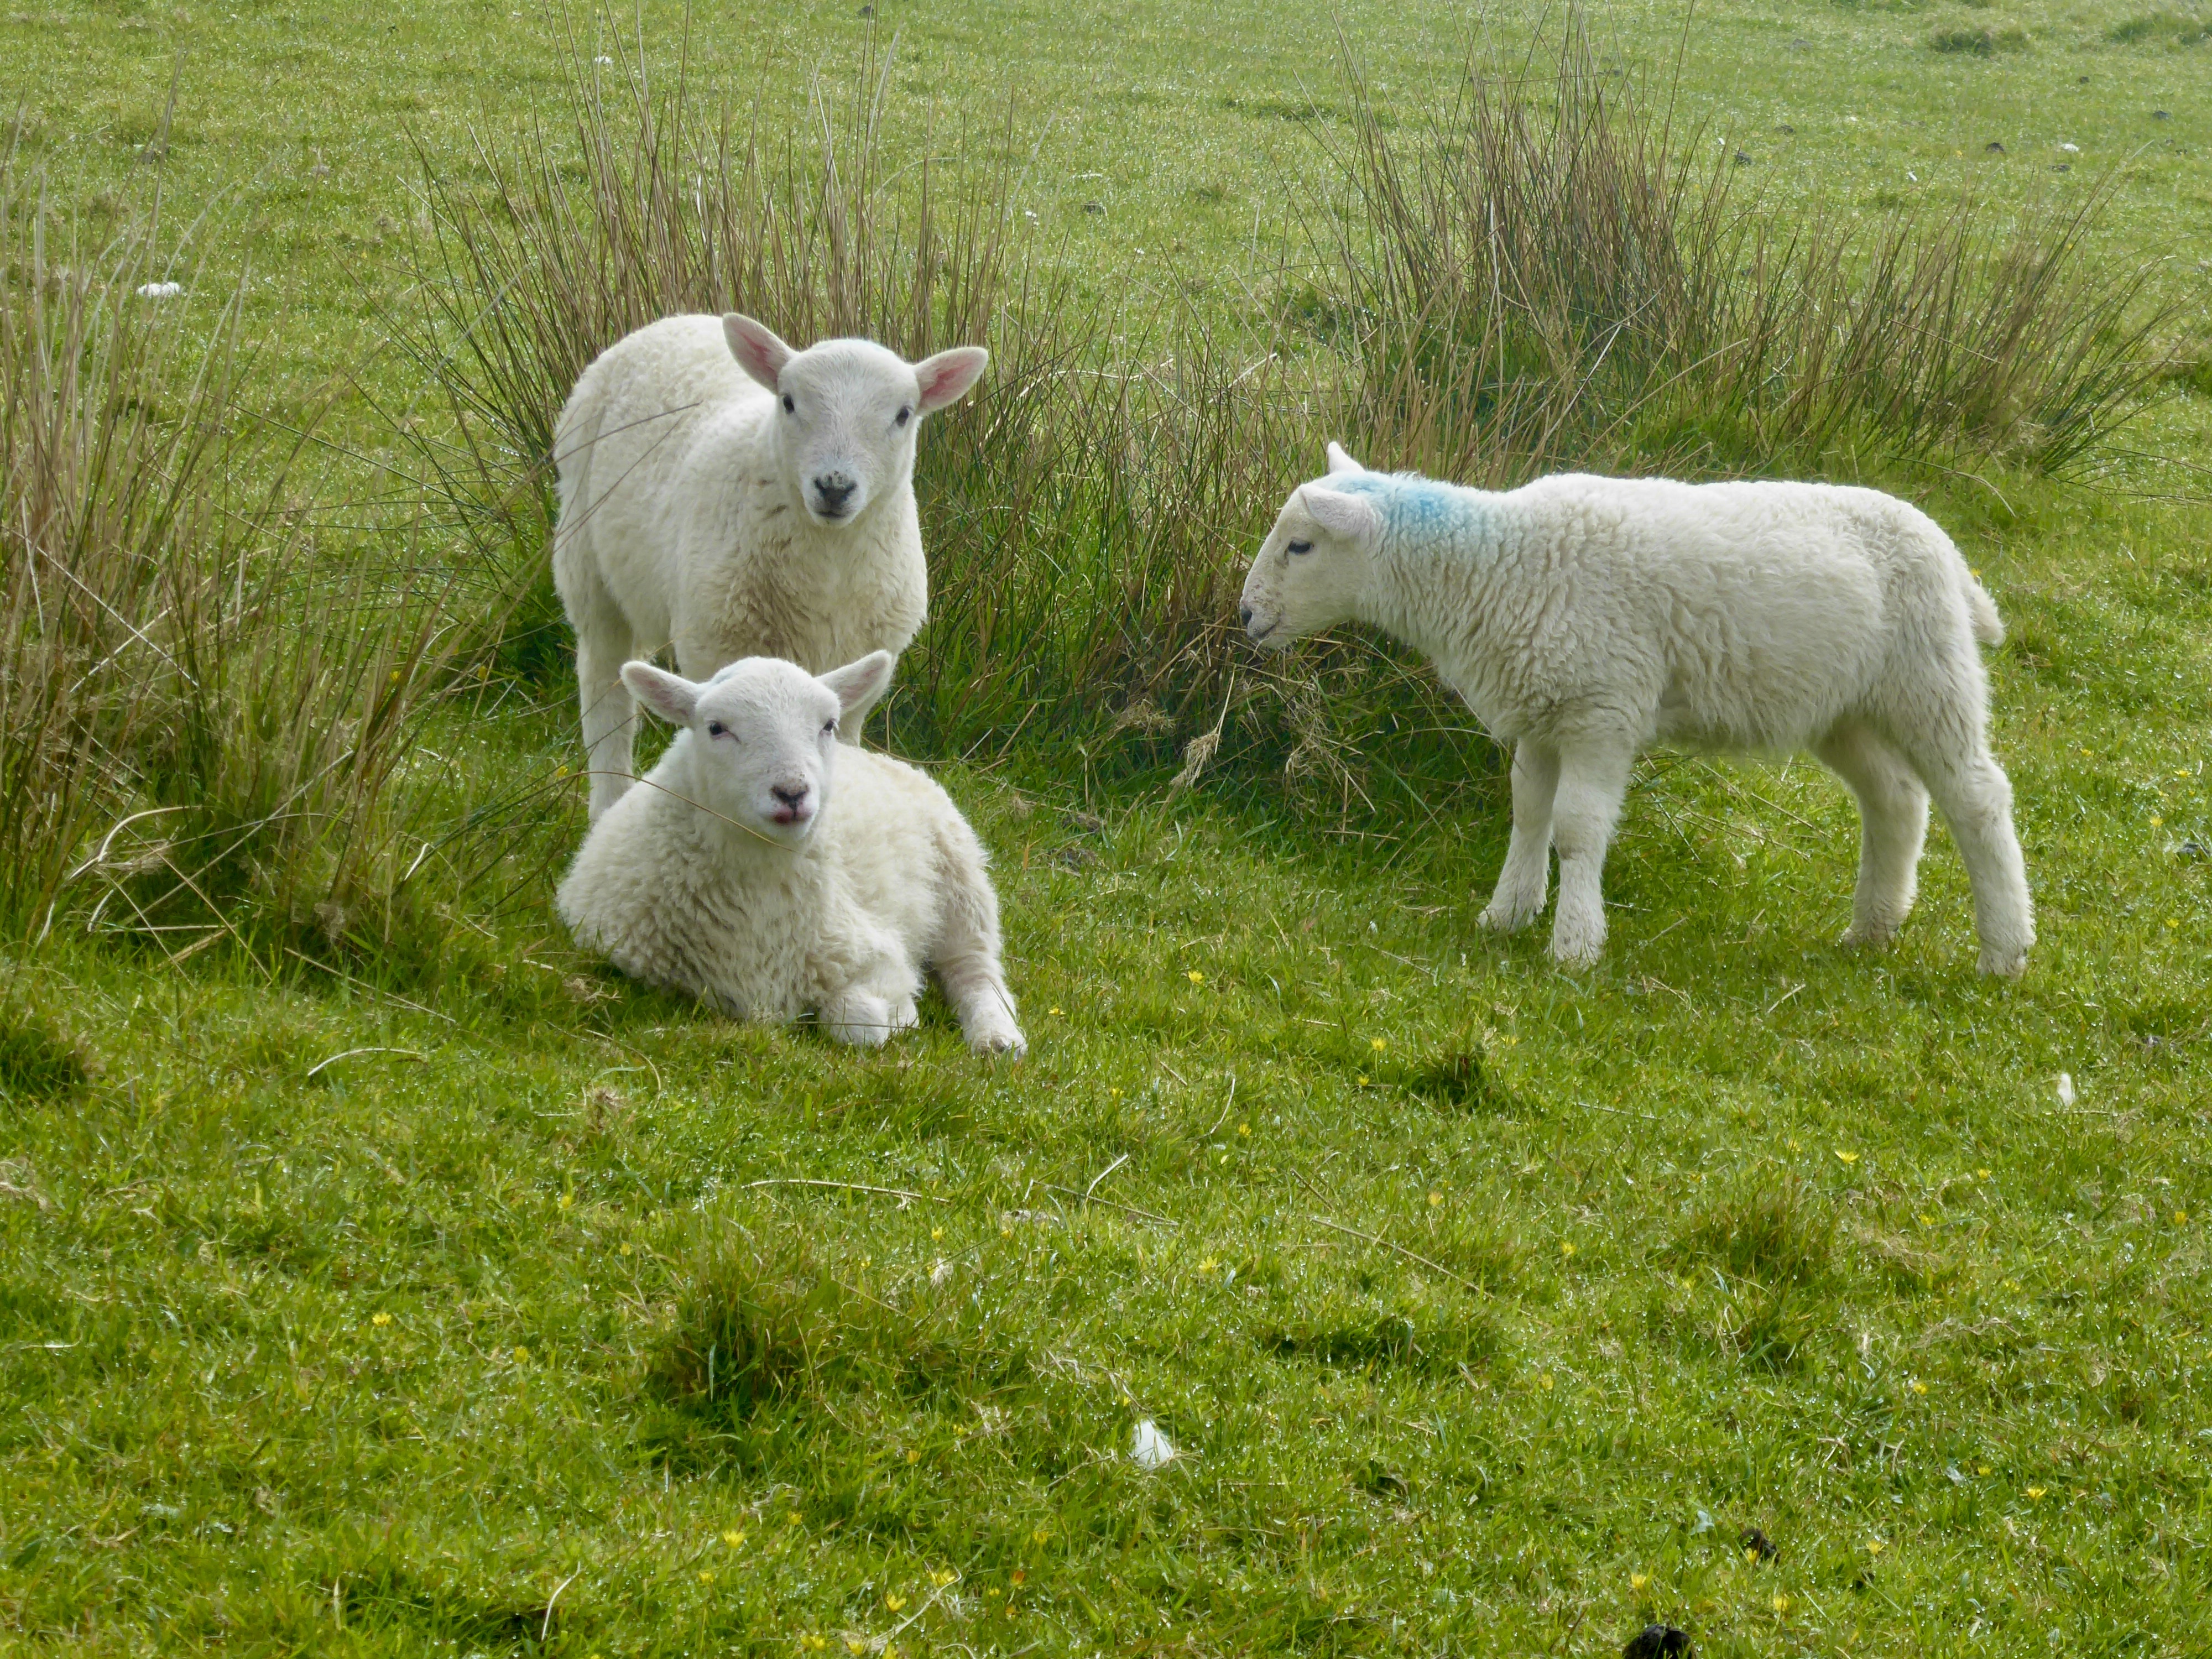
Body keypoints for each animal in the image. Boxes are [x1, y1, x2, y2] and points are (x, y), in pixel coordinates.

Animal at [552, 313, 988, 821]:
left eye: (903, 414)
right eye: (789, 402)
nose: (834, 487)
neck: (830, 563)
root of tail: (674, 320)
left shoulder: (864, 664)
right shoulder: (715, 647)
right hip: (586, 564)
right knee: (605, 692)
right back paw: (608, 801)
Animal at [554, 650, 1026, 1054]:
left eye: (828, 724)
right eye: (716, 728)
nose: (792, 792)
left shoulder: (873, 950)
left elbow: (859, 1021)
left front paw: (899, 1014)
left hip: (960, 879)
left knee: (975, 968)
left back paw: (997, 1037)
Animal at [1239, 444, 2033, 976]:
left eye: (1300, 546)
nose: (1246, 616)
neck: (1492, 567)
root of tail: (1948, 551)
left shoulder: (1601, 709)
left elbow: (1577, 830)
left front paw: (1573, 945)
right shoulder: (1543, 710)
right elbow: (1528, 816)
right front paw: (1507, 915)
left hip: (1927, 676)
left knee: (1977, 798)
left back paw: (2004, 949)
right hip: (1843, 706)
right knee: (1895, 799)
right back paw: (1871, 929)